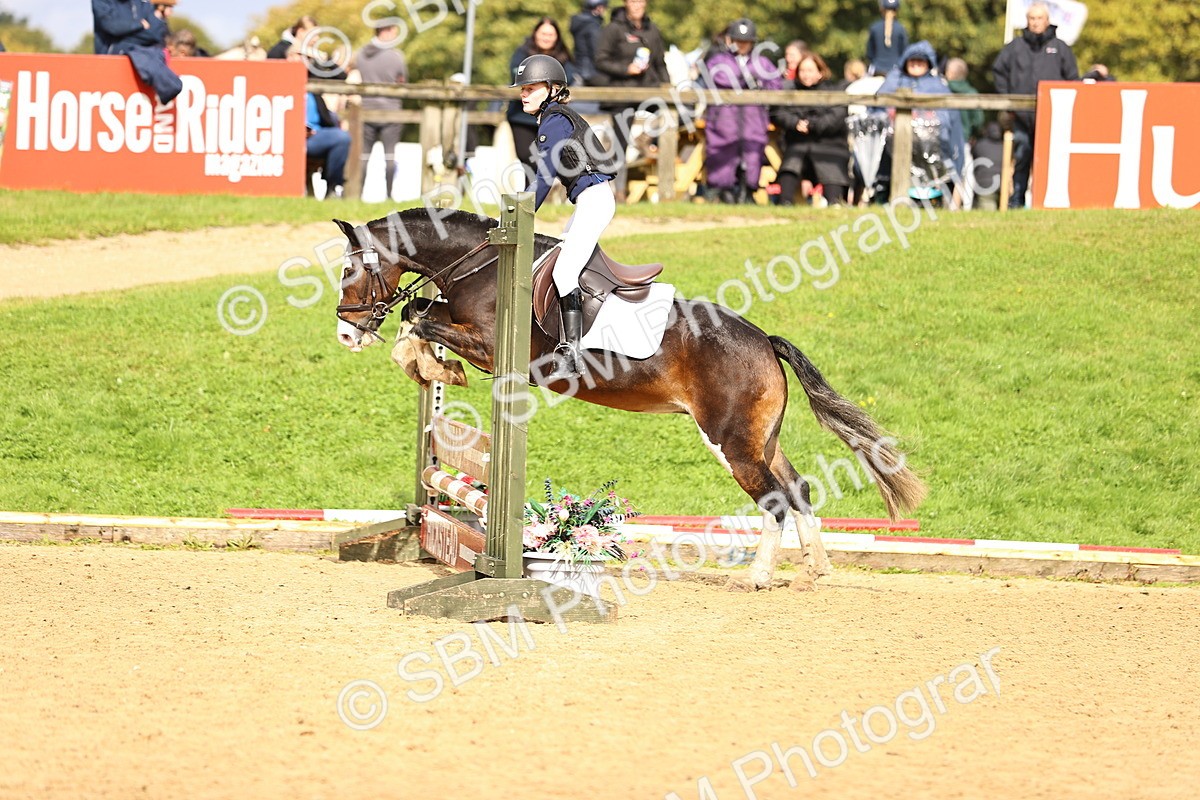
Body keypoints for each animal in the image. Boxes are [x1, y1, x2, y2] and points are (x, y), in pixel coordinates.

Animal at [332, 208, 926, 591]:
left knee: (775, 498)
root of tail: (763, 340)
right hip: (761, 438)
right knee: (797, 488)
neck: (486, 264)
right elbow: (419, 316)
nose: (346, 333)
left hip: (730, 440)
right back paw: (818, 569)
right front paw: (426, 365)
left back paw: (759, 577)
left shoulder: (490, 347)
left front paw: (435, 366)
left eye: (348, 269)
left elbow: (420, 320)